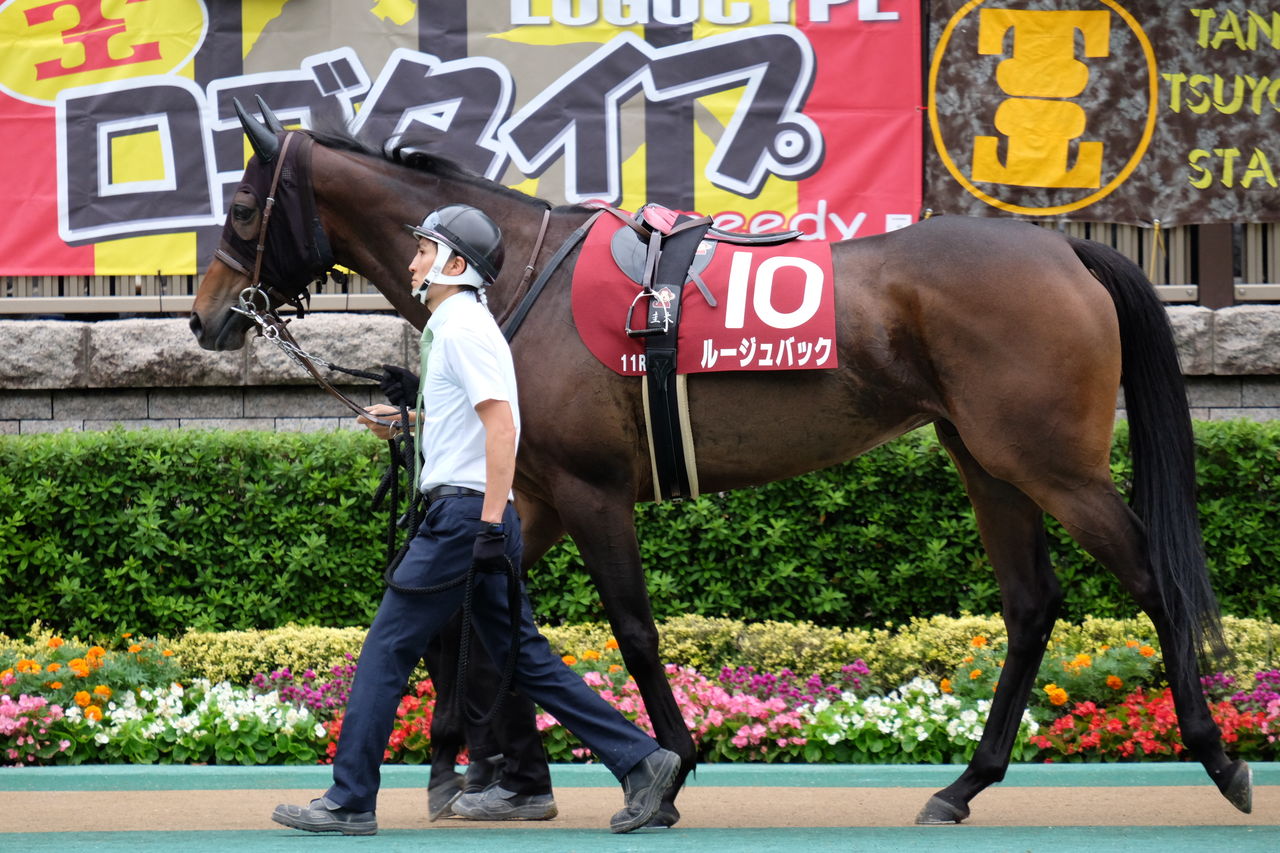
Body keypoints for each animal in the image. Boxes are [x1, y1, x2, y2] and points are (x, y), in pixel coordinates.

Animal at [189, 106, 1253, 825]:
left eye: (240, 205)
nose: (205, 317)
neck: (519, 272)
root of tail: (1069, 253)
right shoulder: (530, 489)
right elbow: (475, 618)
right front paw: (481, 768)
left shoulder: (592, 490)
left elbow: (629, 628)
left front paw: (661, 773)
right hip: (988, 460)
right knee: (1032, 604)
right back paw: (962, 784)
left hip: (1051, 462)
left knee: (1153, 576)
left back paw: (1219, 758)